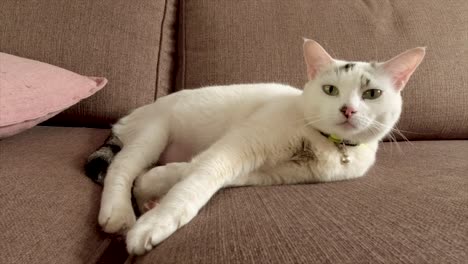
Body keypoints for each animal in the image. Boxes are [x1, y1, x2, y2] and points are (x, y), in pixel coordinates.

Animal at [84, 38, 424, 254]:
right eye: (330, 90)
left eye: (372, 94)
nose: (348, 110)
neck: (323, 143)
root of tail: (130, 115)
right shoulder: (239, 144)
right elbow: (197, 182)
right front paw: (155, 223)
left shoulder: (273, 173)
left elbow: (201, 172)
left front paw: (153, 188)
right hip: (153, 133)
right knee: (121, 167)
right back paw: (119, 213)